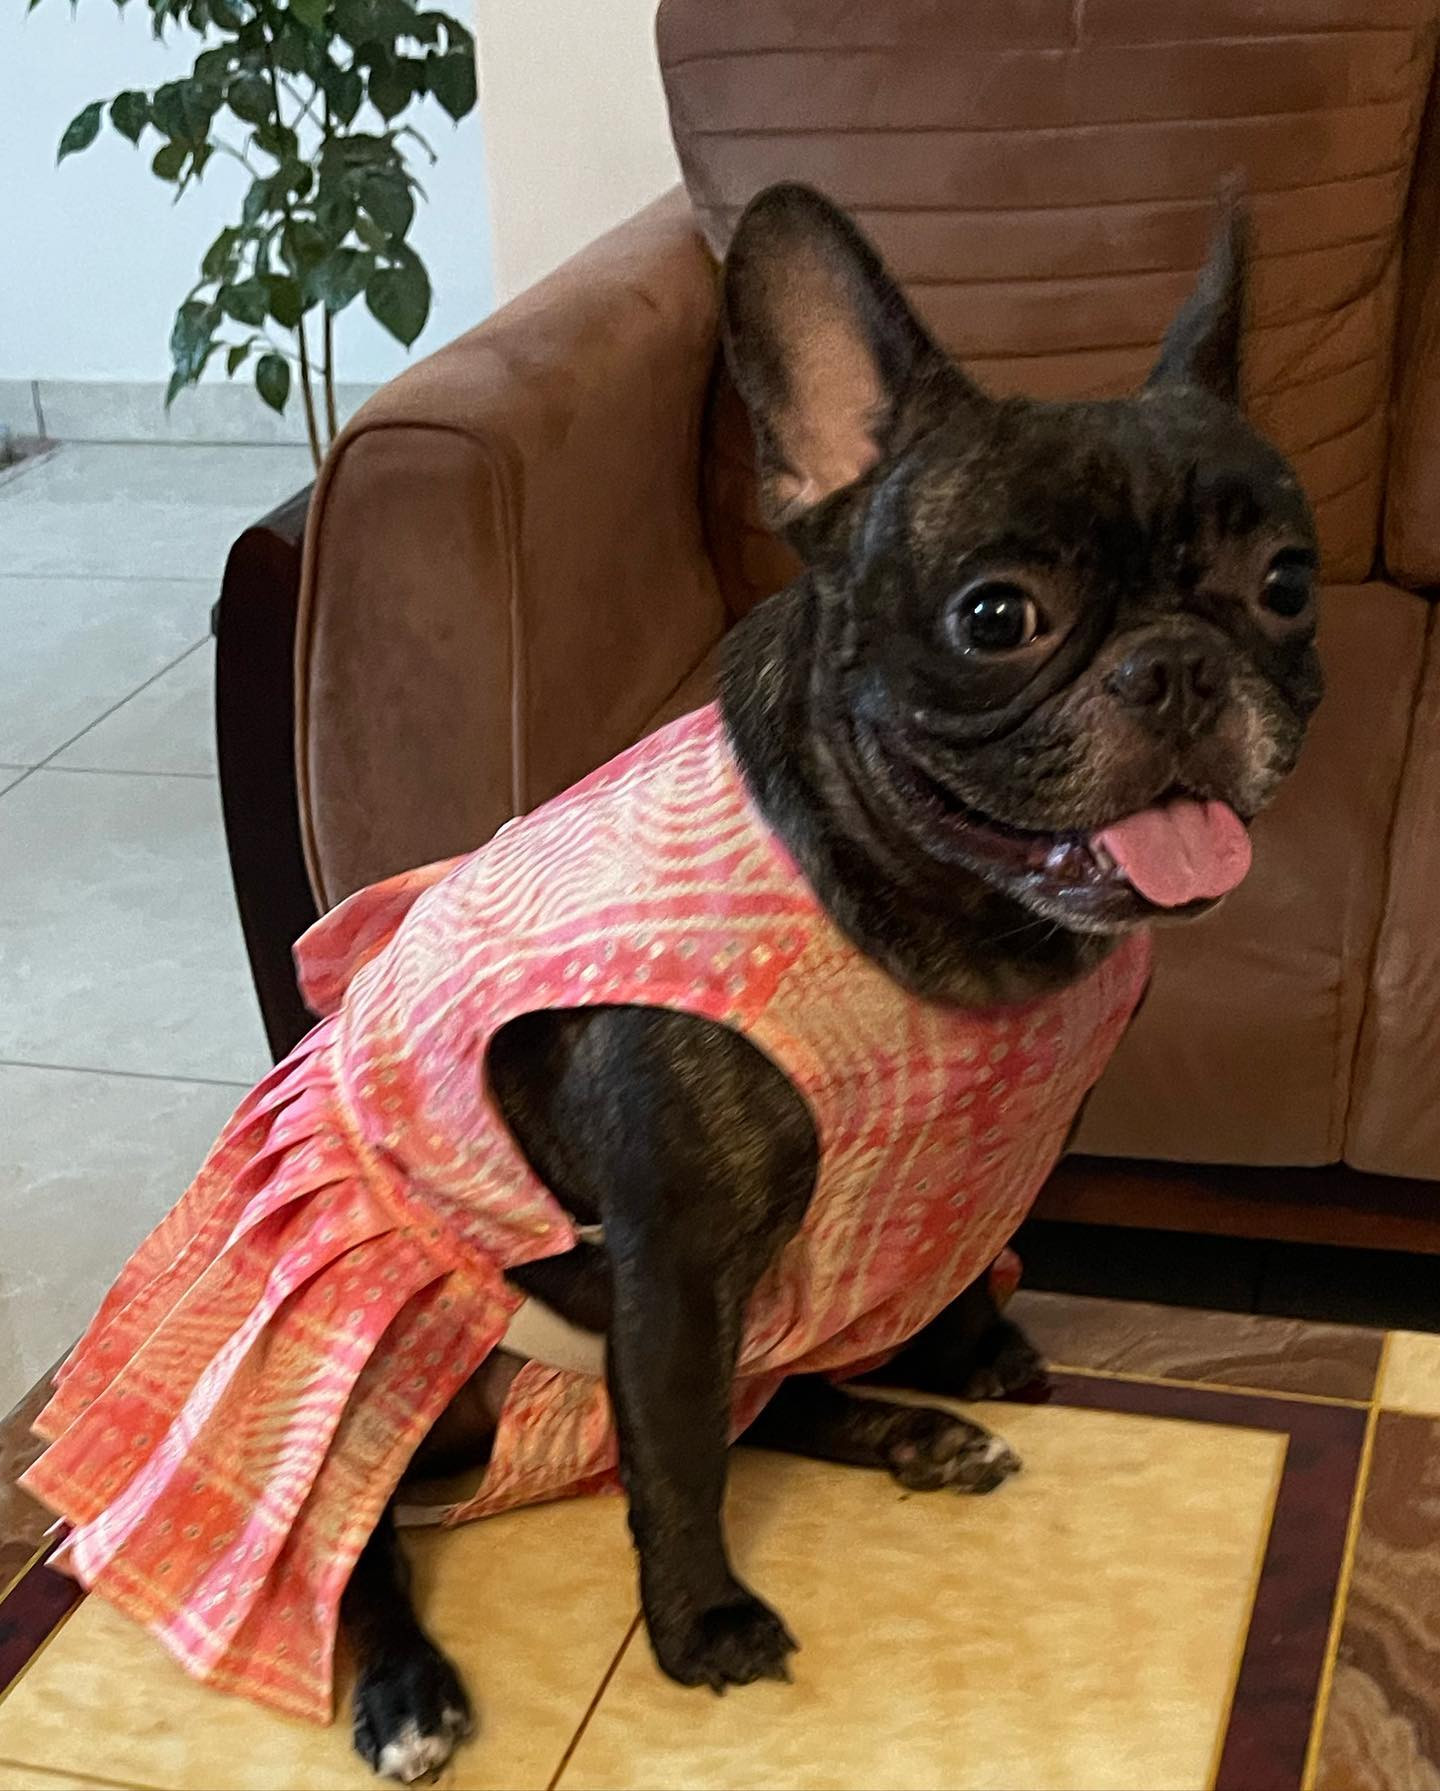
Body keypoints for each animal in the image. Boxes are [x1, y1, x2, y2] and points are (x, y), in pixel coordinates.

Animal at [338, 182, 1322, 1779]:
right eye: (997, 617)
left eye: (1287, 585)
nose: (1176, 665)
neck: (937, 920)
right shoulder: (677, 1264)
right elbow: (679, 1456)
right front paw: (700, 1627)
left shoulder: (994, 1154)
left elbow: (944, 1272)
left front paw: (971, 1351)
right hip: (395, 1358)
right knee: (350, 1534)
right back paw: (403, 1688)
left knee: (772, 1396)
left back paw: (913, 1432)